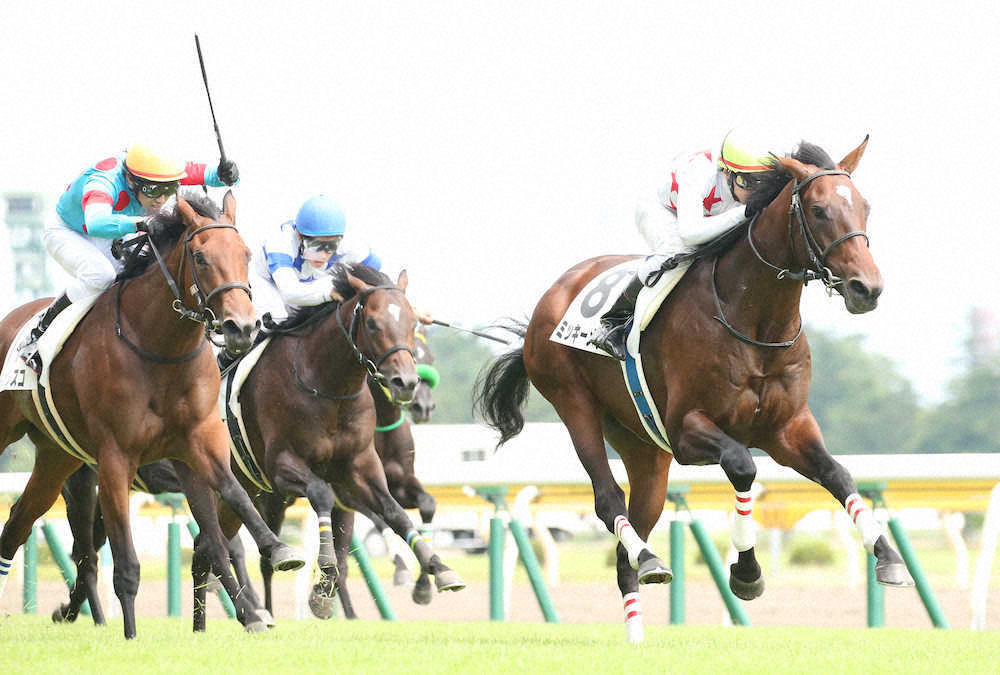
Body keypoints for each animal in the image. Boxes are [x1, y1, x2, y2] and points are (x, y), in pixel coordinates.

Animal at [0, 192, 303, 638]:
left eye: (246, 254)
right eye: (200, 257)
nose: (242, 327)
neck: (160, 348)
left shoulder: (197, 445)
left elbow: (229, 509)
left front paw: (274, 560)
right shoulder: (115, 457)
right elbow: (127, 563)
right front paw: (129, 635)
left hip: (59, 457)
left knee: (20, 522)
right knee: (79, 549)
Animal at [201, 263, 464, 627]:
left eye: (412, 323)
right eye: (373, 323)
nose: (408, 384)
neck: (330, 387)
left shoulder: (362, 469)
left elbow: (397, 512)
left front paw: (436, 571)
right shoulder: (286, 467)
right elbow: (323, 497)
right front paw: (324, 582)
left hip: (248, 493)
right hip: (249, 494)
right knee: (246, 556)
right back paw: (260, 609)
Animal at [474, 139, 913, 642]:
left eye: (864, 207)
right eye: (819, 210)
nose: (867, 288)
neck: (755, 321)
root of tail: (553, 294)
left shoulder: (788, 429)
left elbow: (838, 475)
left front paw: (890, 557)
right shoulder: (688, 431)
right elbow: (742, 467)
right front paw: (746, 573)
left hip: (645, 448)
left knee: (627, 546)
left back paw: (637, 629)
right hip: (574, 403)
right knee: (608, 500)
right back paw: (650, 559)